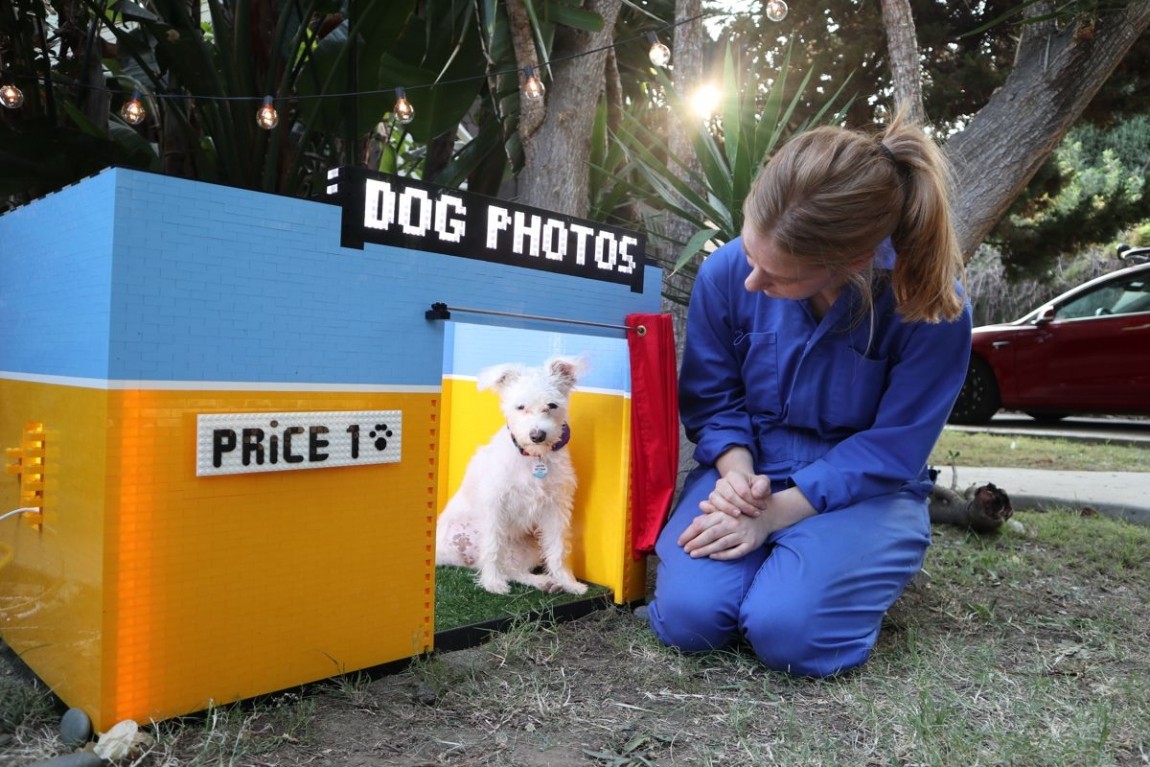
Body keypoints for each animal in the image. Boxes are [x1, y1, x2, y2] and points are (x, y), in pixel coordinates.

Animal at [434, 356, 588, 597]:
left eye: (552, 405)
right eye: (520, 407)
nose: (537, 435)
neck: (533, 458)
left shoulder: (555, 508)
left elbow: (558, 547)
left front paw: (568, 581)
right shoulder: (494, 506)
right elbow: (492, 547)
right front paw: (492, 583)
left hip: (529, 547)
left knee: (513, 570)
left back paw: (546, 582)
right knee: (496, 561)